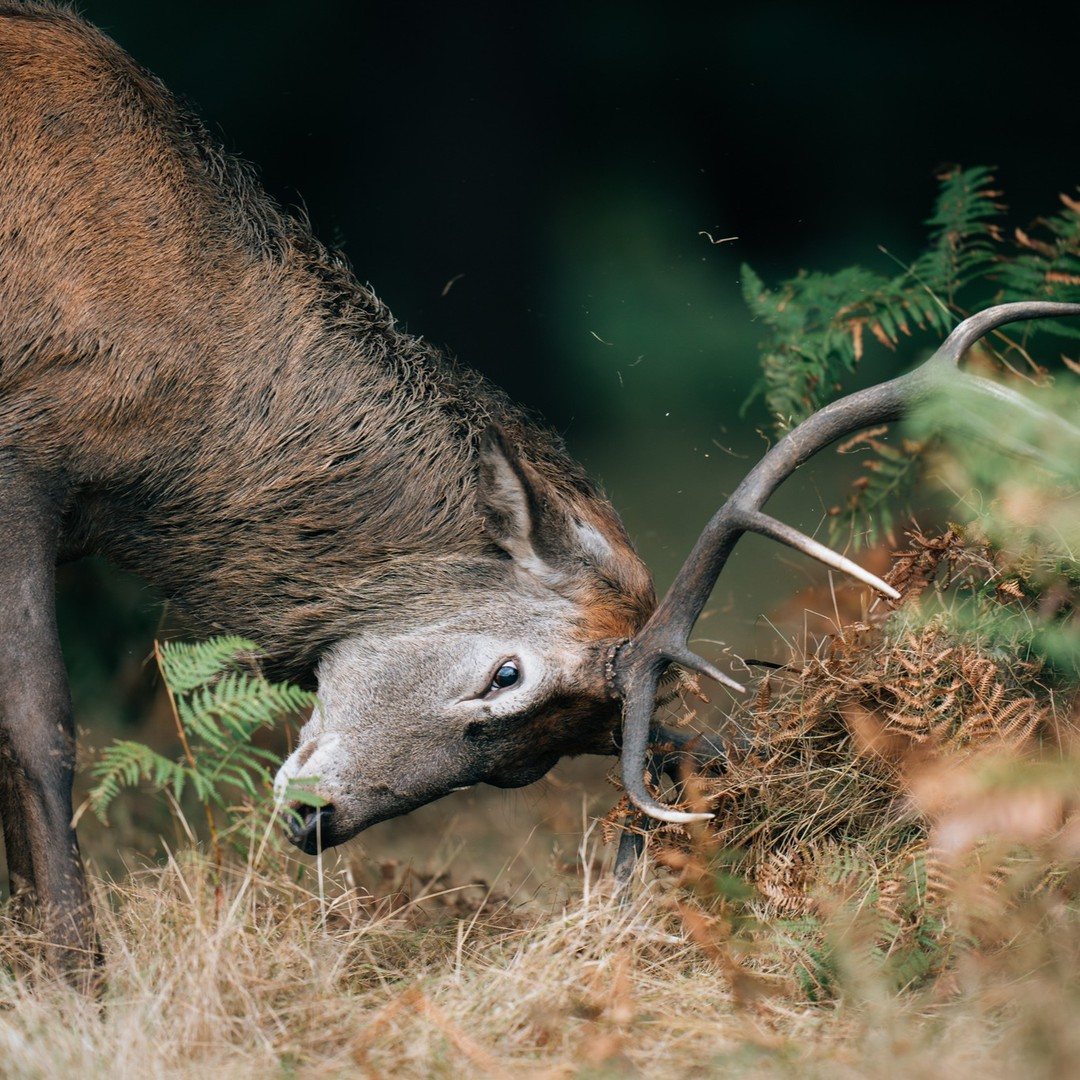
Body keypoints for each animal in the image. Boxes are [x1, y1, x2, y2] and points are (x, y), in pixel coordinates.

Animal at [1, 3, 1077, 984]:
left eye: (522, 767)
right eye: (508, 672)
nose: (315, 819)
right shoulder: (25, 454)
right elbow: (42, 724)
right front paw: (76, 973)